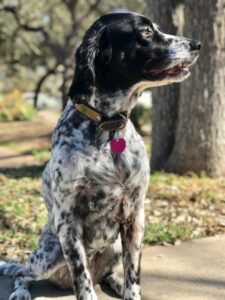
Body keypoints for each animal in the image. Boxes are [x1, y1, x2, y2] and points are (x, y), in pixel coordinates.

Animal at [0, 11, 200, 300]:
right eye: (145, 32)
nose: (197, 44)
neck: (108, 126)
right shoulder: (68, 221)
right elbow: (82, 281)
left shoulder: (135, 215)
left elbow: (133, 275)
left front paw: (130, 291)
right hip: (49, 254)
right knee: (21, 272)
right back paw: (20, 292)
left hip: (114, 246)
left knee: (109, 274)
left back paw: (115, 282)